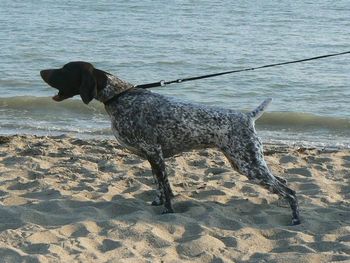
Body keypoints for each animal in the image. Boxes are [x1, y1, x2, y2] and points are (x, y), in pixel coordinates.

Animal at [39, 60, 300, 226]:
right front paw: (157, 203)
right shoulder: (152, 156)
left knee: (290, 191)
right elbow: (158, 185)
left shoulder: (154, 153)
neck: (120, 97)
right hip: (246, 163)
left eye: (64, 70)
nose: (41, 71)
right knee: (284, 184)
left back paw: (295, 219)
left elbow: (165, 188)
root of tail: (247, 116)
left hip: (248, 165)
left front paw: (167, 211)